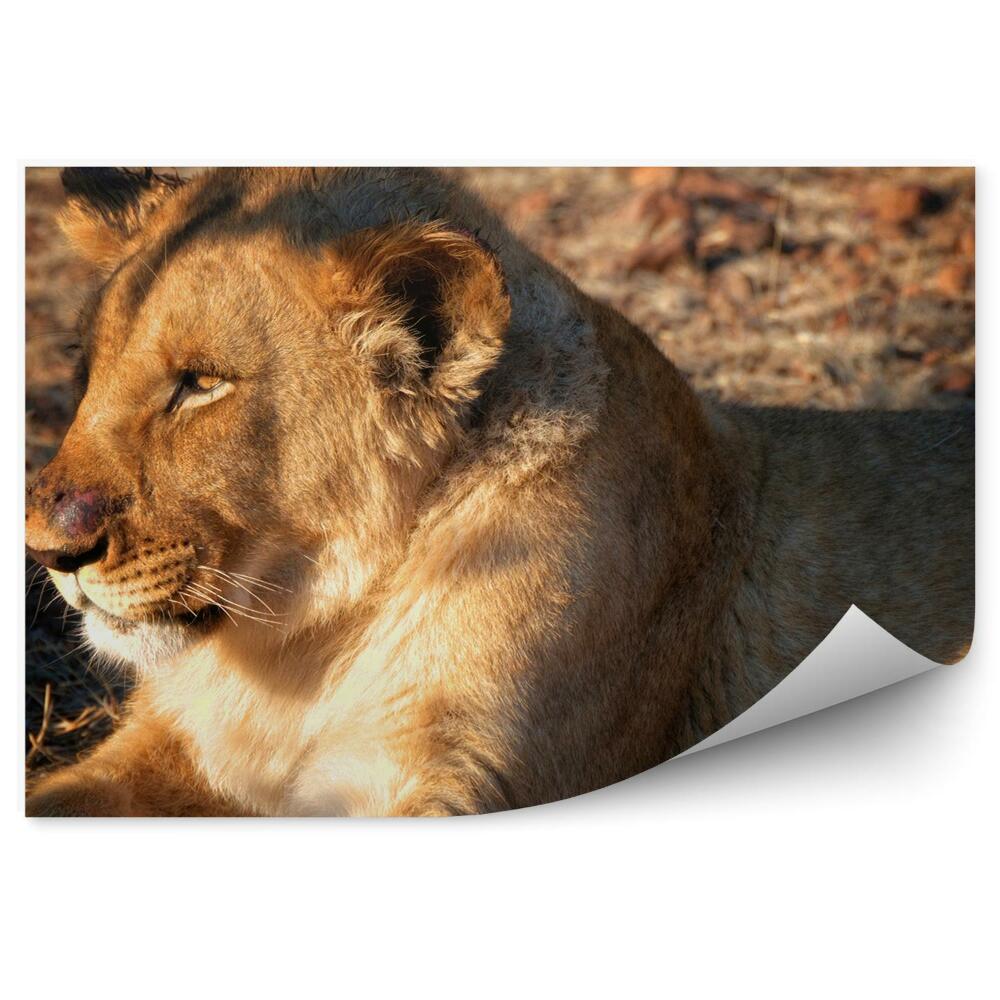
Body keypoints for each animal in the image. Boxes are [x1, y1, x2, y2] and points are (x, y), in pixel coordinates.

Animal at [24, 167, 974, 816]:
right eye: (84, 366)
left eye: (201, 385)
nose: (48, 551)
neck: (299, 648)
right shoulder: (168, 746)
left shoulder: (462, 773)